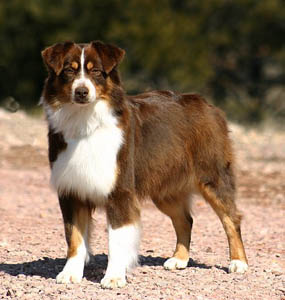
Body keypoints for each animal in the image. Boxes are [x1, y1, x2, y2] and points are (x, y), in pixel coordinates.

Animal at [41, 41, 247, 290]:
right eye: (68, 71)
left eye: (96, 72)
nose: (82, 91)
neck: (85, 121)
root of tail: (207, 104)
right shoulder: (72, 191)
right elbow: (74, 238)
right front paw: (70, 273)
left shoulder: (120, 192)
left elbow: (117, 240)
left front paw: (114, 276)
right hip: (165, 188)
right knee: (185, 220)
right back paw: (179, 259)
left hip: (212, 177)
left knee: (231, 219)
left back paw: (238, 263)